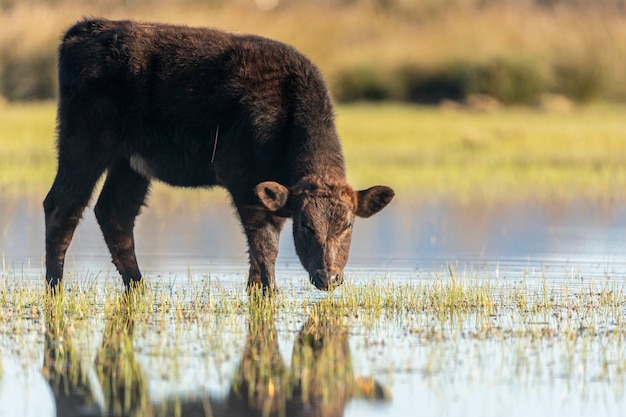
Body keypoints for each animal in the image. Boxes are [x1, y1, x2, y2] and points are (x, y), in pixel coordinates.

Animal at [44, 18, 392, 292]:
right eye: (305, 225)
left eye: (348, 225)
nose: (327, 277)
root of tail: (83, 29)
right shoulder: (242, 177)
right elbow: (264, 242)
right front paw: (269, 291)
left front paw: (255, 288)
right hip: (84, 140)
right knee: (63, 204)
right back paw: (55, 287)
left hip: (129, 160)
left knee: (114, 212)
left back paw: (138, 285)